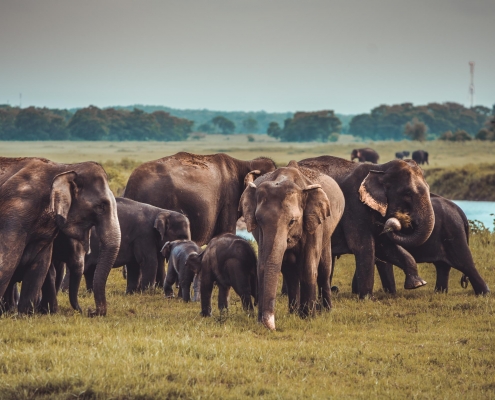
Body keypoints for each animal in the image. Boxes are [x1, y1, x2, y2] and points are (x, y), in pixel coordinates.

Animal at [0, 156, 120, 316]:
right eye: (101, 206)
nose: (90, 311)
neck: (64, 168)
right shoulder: (16, 211)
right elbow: (7, 262)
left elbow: (40, 266)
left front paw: (24, 316)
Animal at [240, 161, 344, 330]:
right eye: (259, 220)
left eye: (292, 221)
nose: (270, 325)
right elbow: (268, 265)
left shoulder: (313, 222)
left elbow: (308, 267)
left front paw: (309, 318)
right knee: (291, 272)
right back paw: (294, 313)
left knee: (324, 268)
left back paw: (325, 311)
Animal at [298, 155, 434, 298]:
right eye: (407, 193)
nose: (392, 224)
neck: (380, 169)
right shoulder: (354, 206)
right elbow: (363, 246)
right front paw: (367, 298)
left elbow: (385, 246)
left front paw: (417, 284)